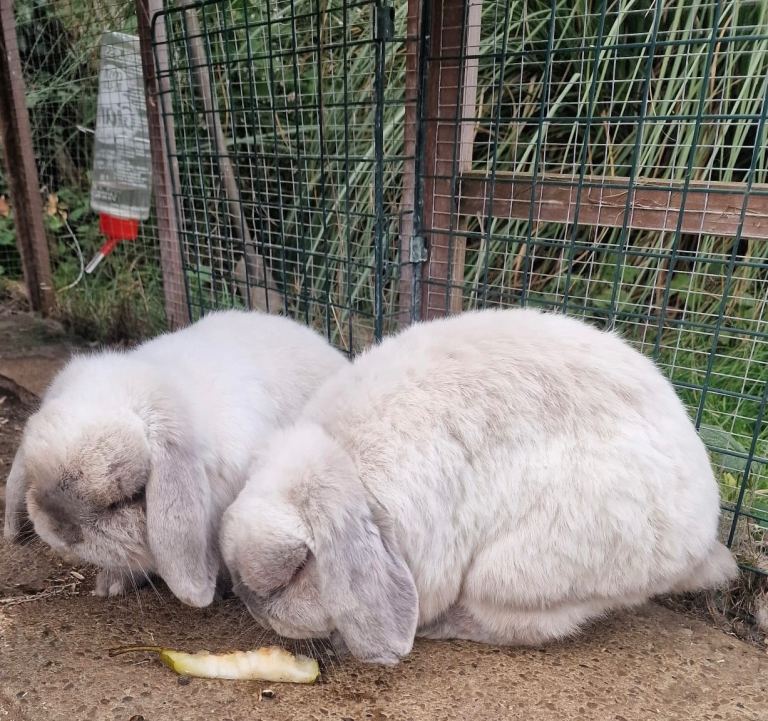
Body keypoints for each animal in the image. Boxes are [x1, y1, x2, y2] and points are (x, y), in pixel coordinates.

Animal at [219, 307, 738, 664]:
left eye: (296, 569)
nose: (254, 607)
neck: (347, 461)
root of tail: (703, 531)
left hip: (519, 570)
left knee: (522, 625)